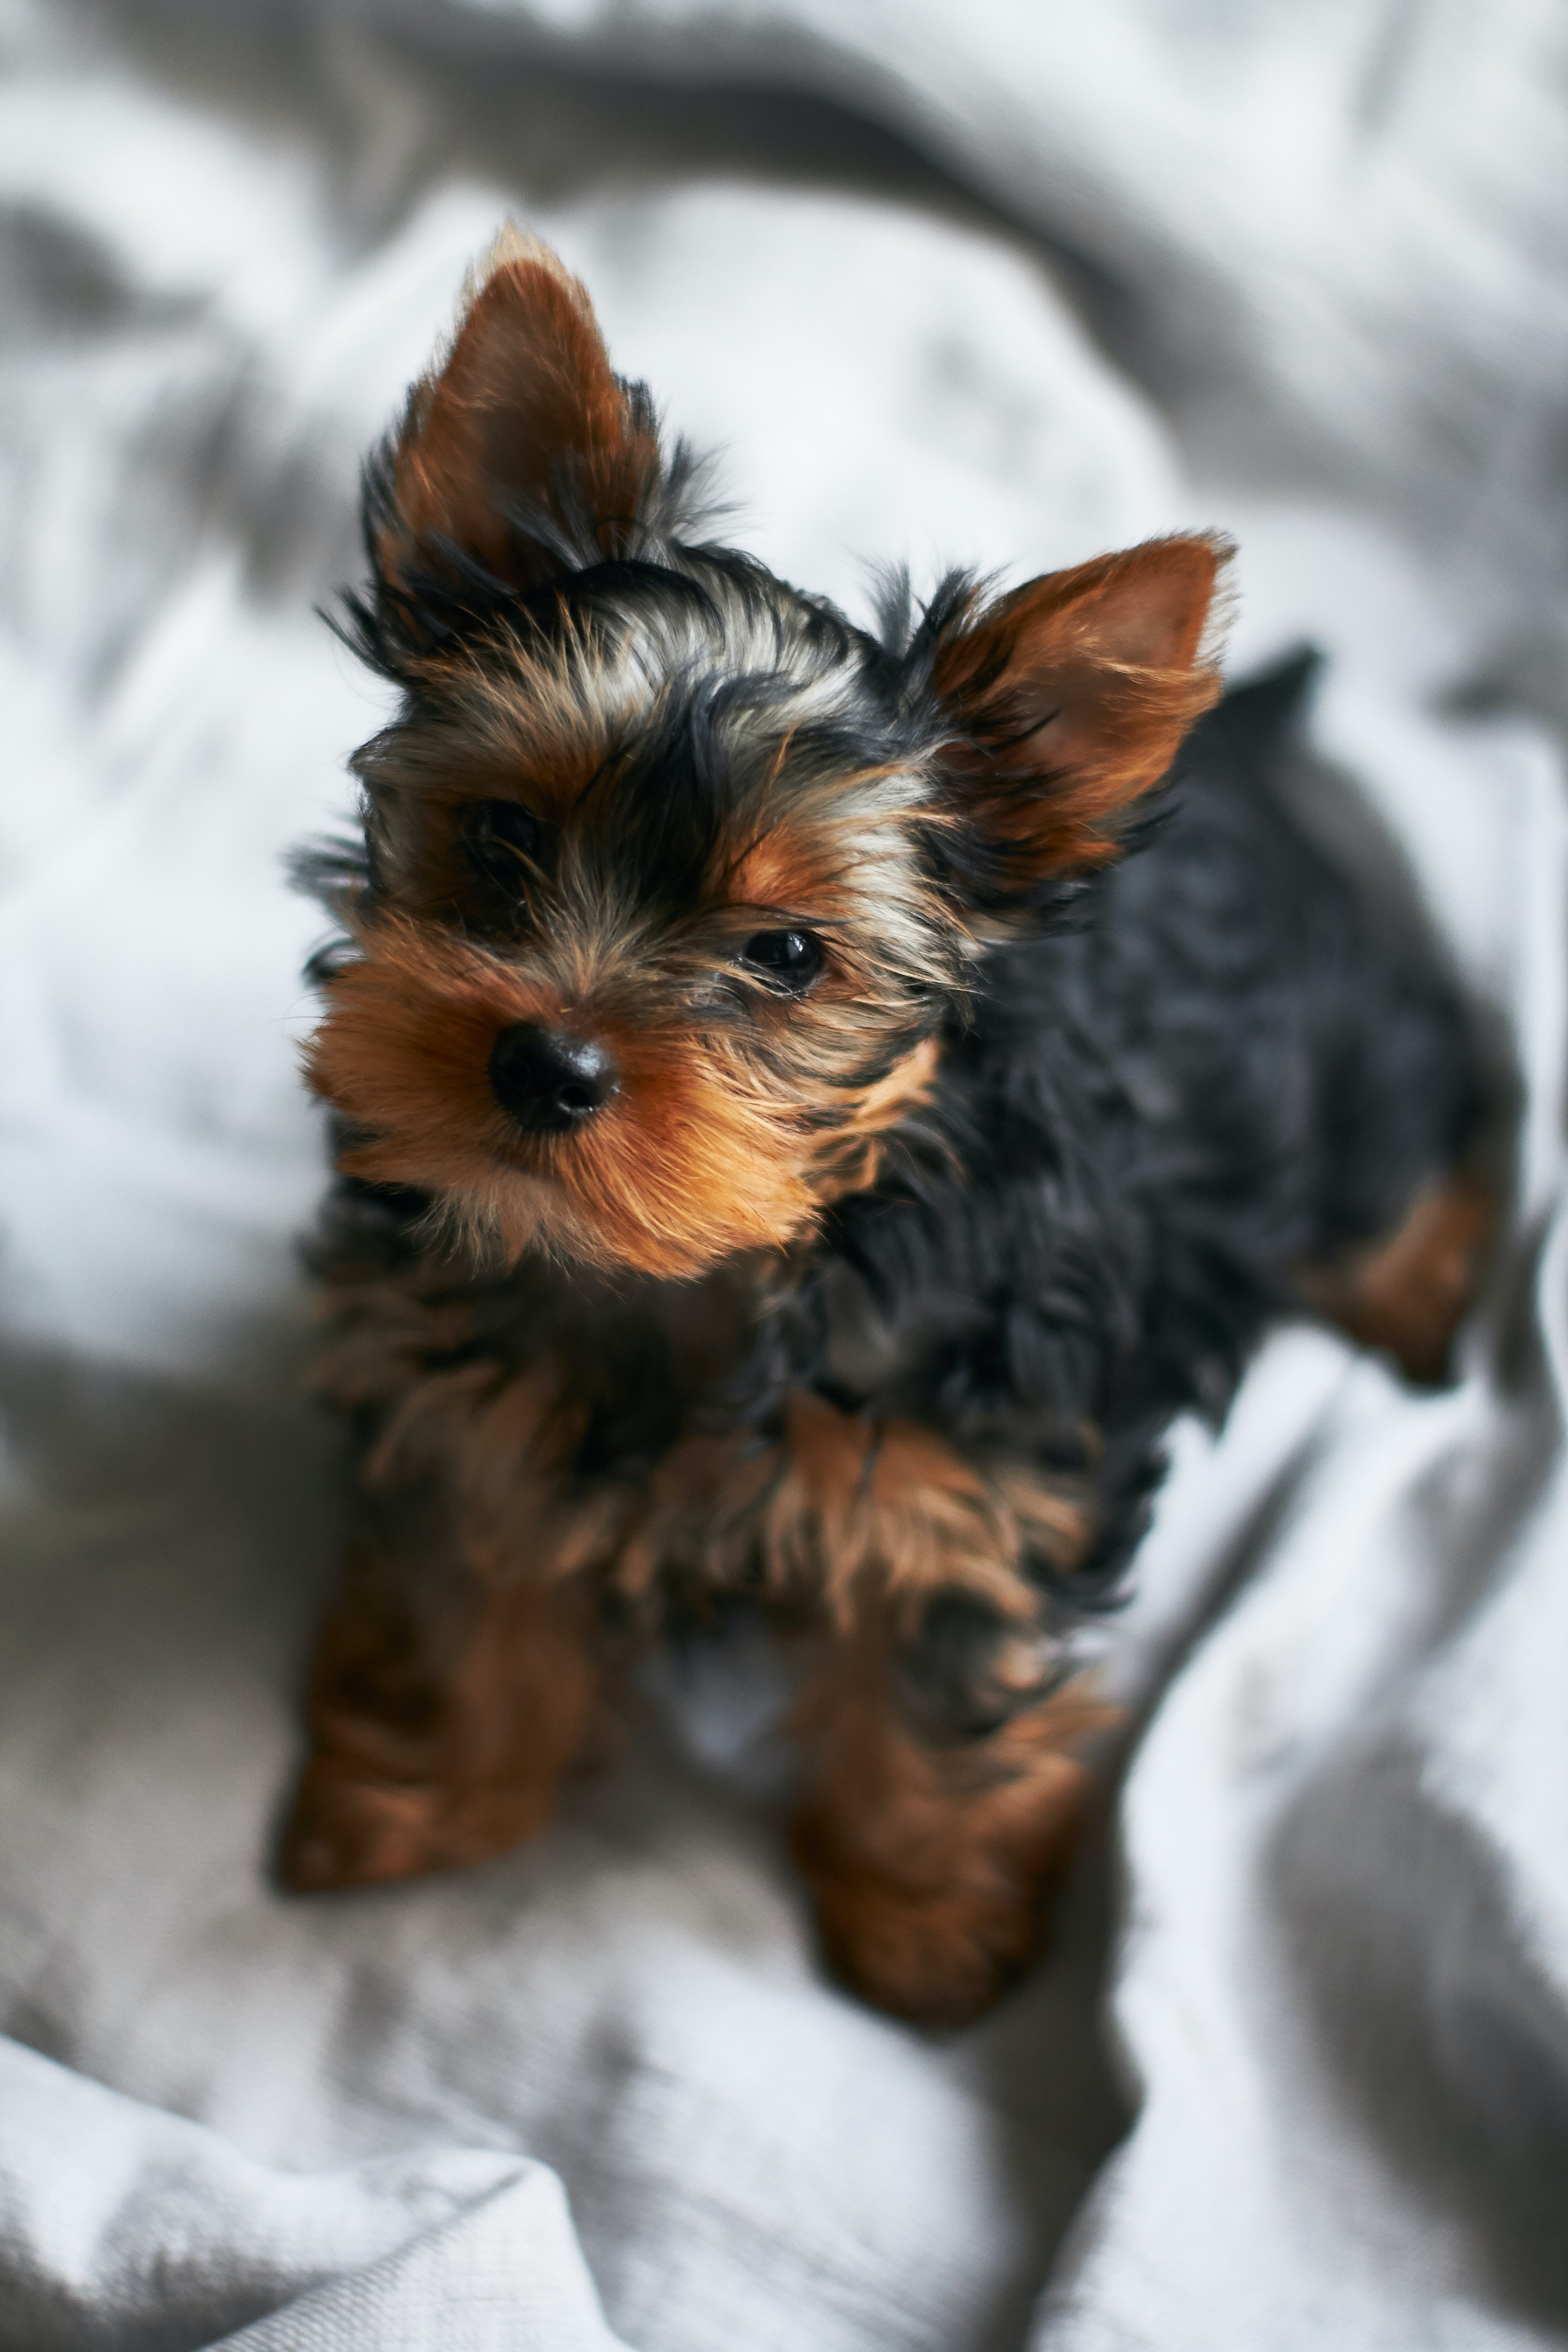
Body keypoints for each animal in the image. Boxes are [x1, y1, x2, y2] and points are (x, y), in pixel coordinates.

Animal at [276, 229, 1495, 2022]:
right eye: (501, 839)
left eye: (786, 956)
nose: (547, 1066)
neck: (721, 1263)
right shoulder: (463, 1391)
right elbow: (469, 1576)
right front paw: (430, 1789)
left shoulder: (976, 1476)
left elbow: (940, 1693)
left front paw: (928, 1923)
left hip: (1338, 1072)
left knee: (1423, 1134)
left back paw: (1427, 1302)